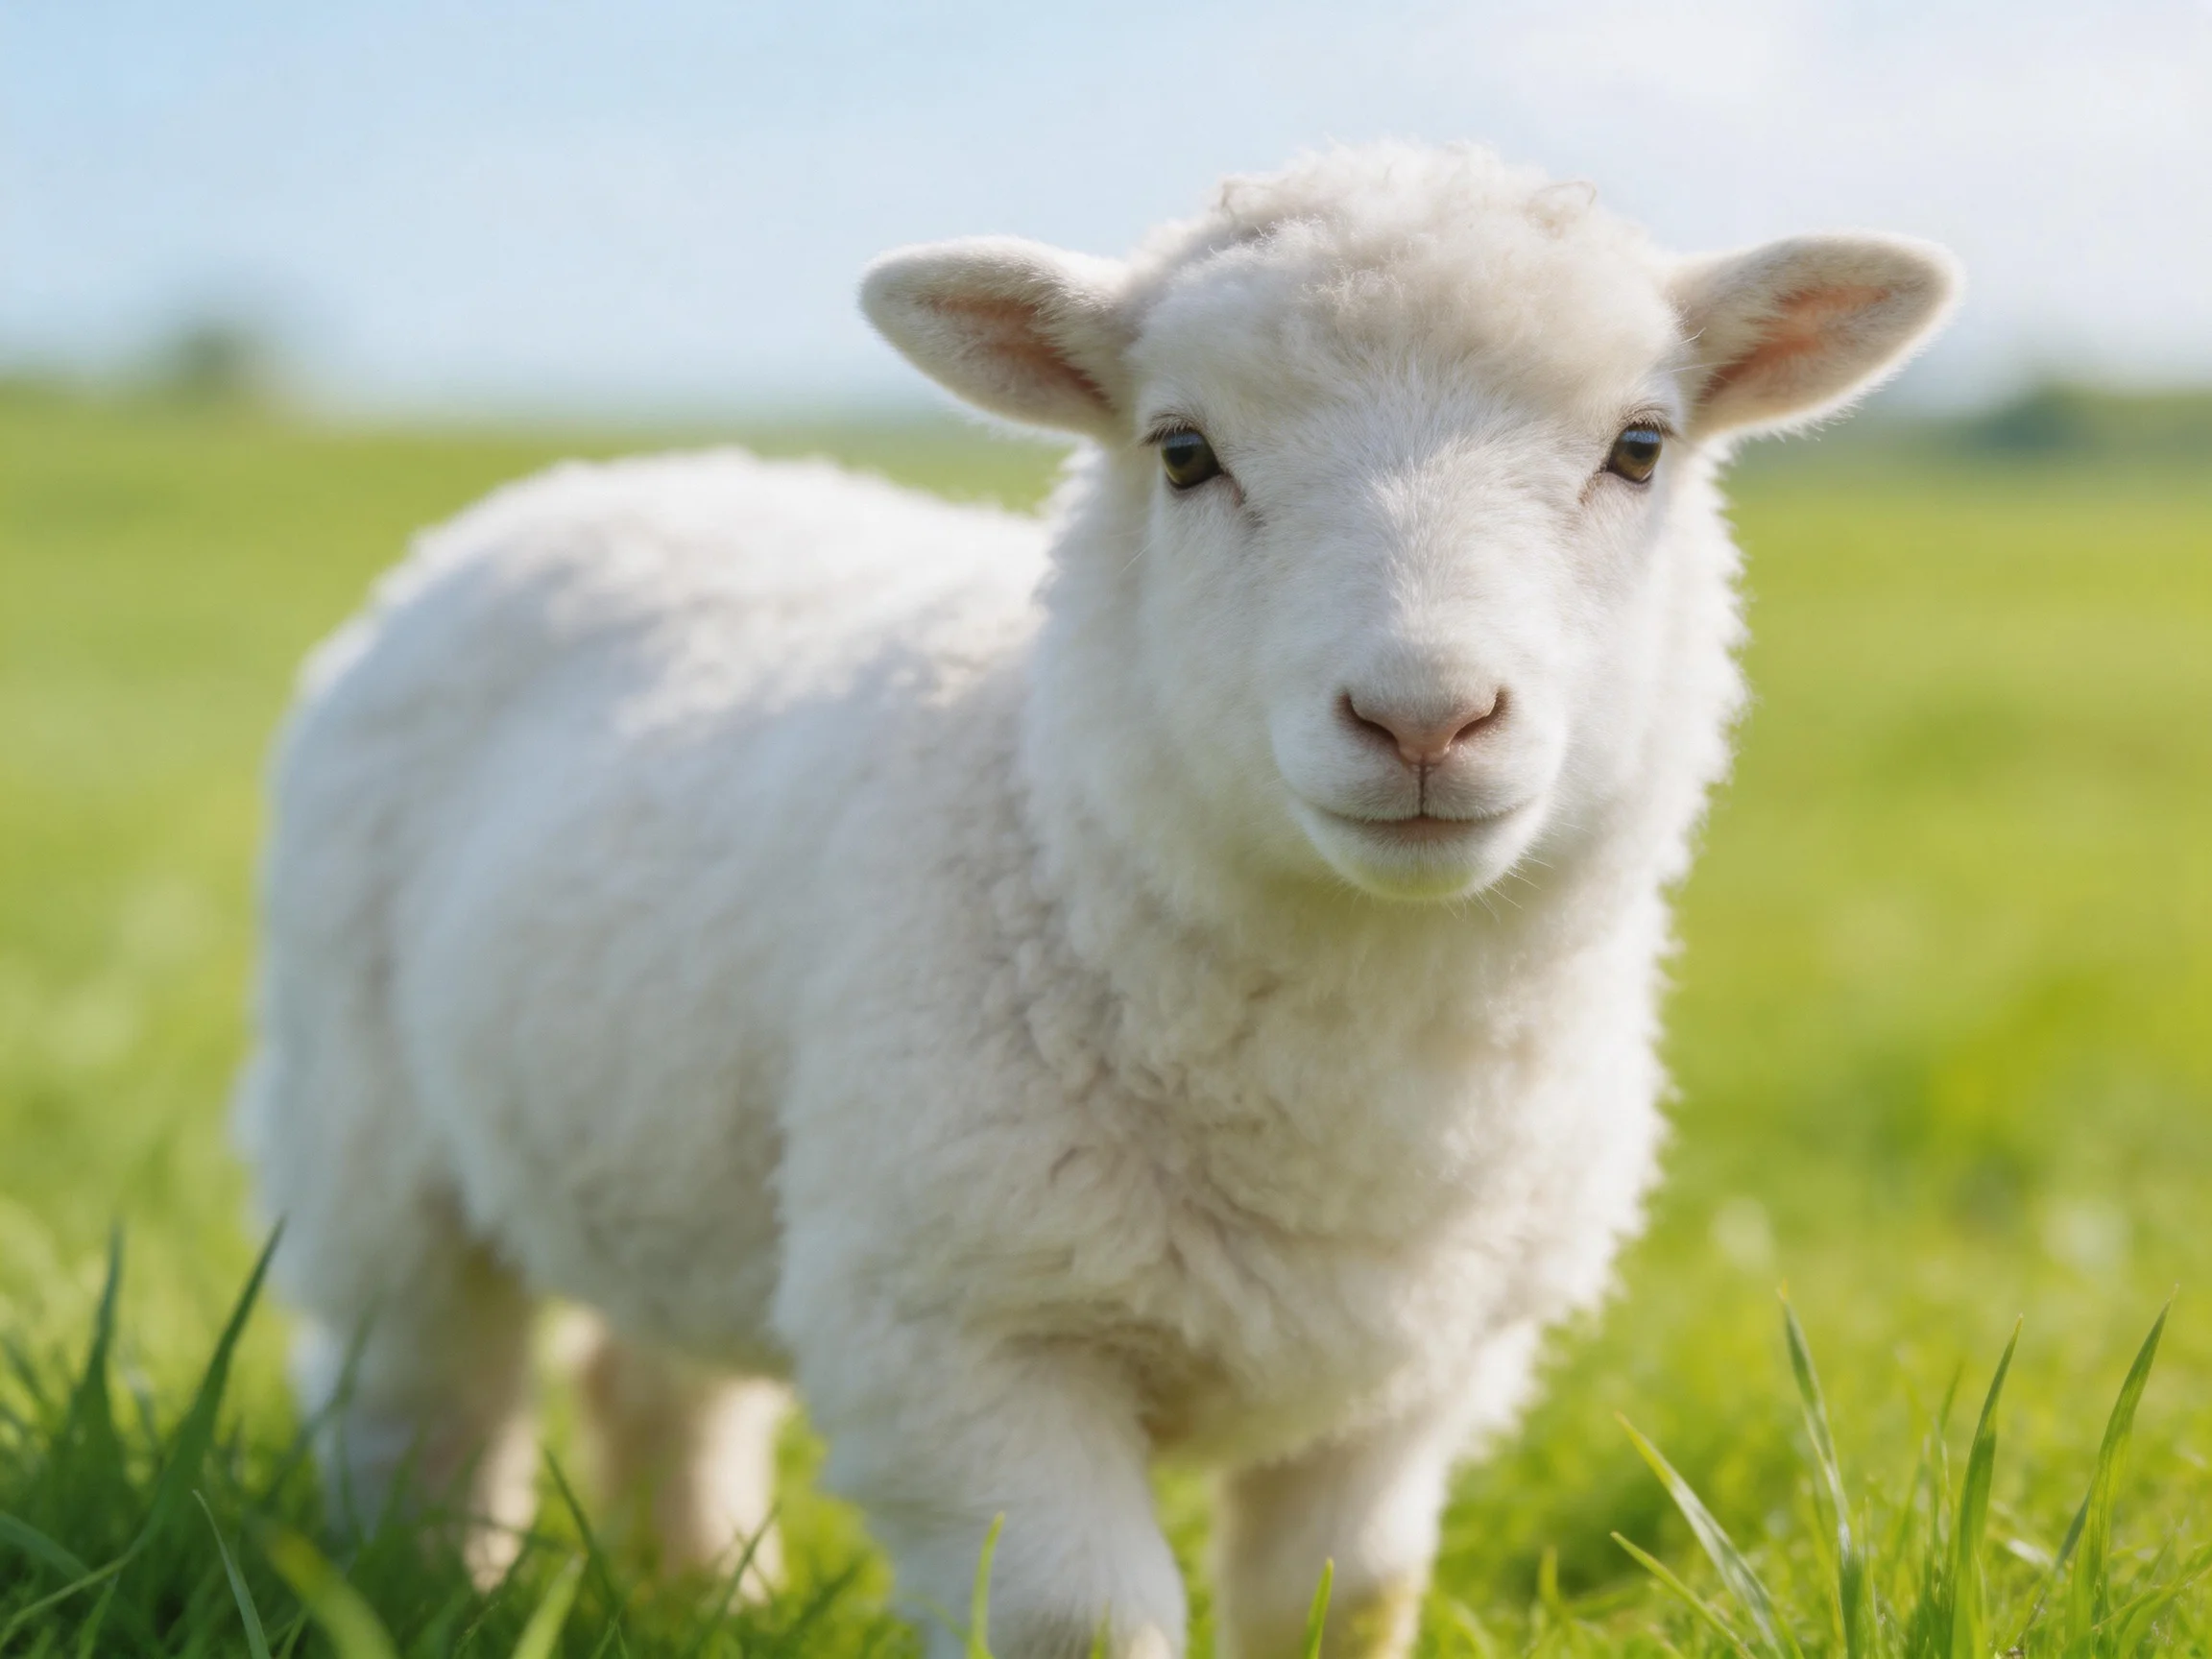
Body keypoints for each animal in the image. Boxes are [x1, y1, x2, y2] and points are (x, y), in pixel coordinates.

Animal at [236, 142, 1957, 1658]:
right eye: (1182, 452)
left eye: (1638, 446)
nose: (1422, 717)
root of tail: (613, 477)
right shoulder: (961, 1335)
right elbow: (1079, 1622)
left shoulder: (1417, 1380)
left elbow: (1347, 1603)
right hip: (365, 1131)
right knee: (420, 1404)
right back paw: (429, 1590)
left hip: (684, 1144)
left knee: (655, 1382)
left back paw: (708, 1590)